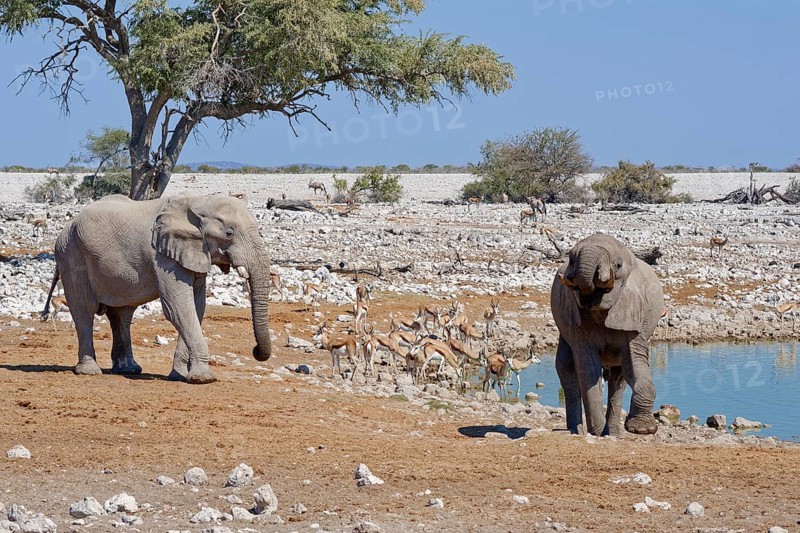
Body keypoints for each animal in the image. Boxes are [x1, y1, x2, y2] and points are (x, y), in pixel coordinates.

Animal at [43, 194, 272, 383]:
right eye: (229, 233)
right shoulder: (161, 257)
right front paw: (203, 379)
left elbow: (196, 307)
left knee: (121, 313)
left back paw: (129, 370)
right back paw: (90, 371)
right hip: (70, 253)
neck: (200, 202)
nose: (255, 351)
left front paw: (179, 376)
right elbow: (178, 308)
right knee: (84, 310)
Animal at [550, 233, 663, 436]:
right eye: (571, 259)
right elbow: (588, 368)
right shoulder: (577, 322)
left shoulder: (634, 316)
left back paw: (613, 433)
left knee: (618, 378)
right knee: (566, 369)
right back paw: (577, 431)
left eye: (618, 265)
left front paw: (642, 429)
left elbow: (634, 364)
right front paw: (596, 431)